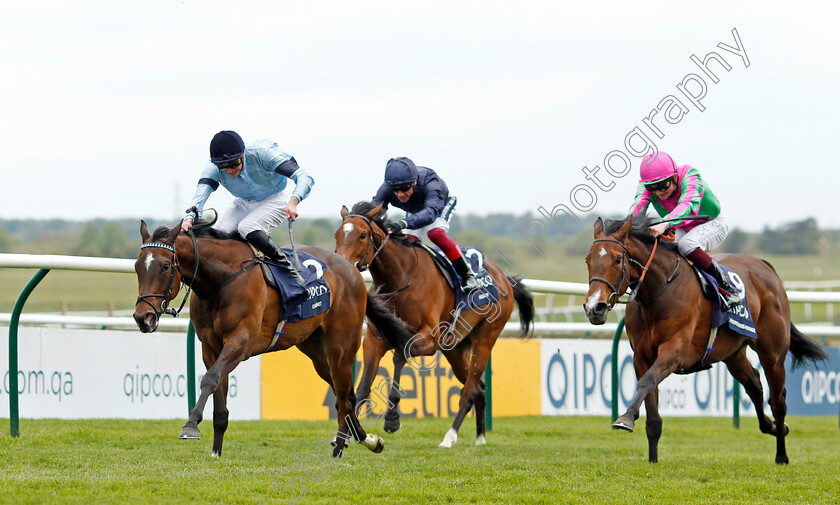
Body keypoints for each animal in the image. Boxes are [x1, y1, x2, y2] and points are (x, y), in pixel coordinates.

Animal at [132, 220, 416, 456]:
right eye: (137, 267)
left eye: (165, 266)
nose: (142, 317)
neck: (221, 280)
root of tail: (353, 271)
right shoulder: (210, 347)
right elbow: (218, 397)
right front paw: (216, 452)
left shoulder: (240, 342)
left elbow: (210, 379)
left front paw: (190, 426)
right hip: (317, 351)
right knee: (344, 394)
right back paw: (366, 440)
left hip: (342, 347)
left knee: (346, 396)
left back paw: (338, 449)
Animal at [334, 203, 536, 446]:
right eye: (337, 234)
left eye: (363, 235)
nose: (344, 266)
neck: (402, 276)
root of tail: (503, 277)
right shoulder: (374, 339)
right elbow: (364, 384)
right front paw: (349, 432)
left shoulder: (428, 339)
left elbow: (399, 356)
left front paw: (392, 418)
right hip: (455, 349)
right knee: (478, 388)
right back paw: (480, 438)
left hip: (486, 338)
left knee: (469, 390)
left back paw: (450, 437)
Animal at [584, 215, 828, 462]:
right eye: (587, 260)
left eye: (617, 259)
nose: (595, 308)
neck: (659, 290)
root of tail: (765, 267)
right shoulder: (642, 357)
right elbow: (651, 410)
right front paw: (652, 460)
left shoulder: (674, 351)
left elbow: (646, 382)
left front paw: (625, 418)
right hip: (733, 354)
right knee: (754, 385)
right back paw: (772, 426)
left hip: (773, 352)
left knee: (778, 401)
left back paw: (781, 454)